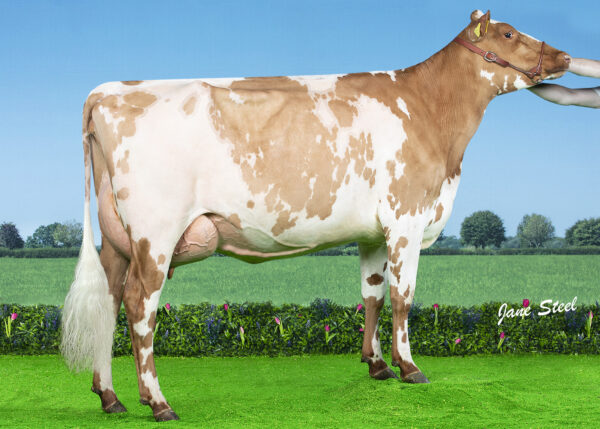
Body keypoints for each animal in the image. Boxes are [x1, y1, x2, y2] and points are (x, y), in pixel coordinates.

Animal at [61, 10, 571, 421]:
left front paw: (377, 365)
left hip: (118, 239)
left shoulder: (373, 232)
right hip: (156, 235)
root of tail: (107, 92)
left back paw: (110, 397)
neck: (430, 112)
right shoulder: (406, 219)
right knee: (138, 306)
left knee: (109, 301)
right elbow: (403, 298)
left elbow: (373, 296)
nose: (564, 56)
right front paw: (409, 367)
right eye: (508, 33)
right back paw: (157, 402)